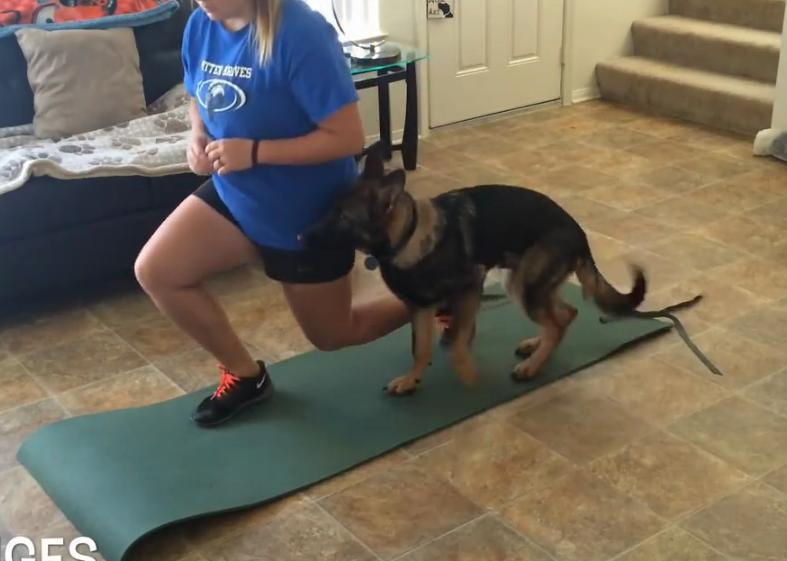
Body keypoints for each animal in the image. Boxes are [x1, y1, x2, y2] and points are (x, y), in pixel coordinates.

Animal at [302, 149, 648, 394]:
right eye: (329, 210)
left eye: (342, 217)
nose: (300, 237)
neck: (408, 235)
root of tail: (579, 234)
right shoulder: (420, 308)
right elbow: (419, 348)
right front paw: (411, 379)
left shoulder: (470, 288)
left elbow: (457, 343)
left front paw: (468, 373)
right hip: (523, 281)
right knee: (565, 314)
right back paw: (536, 348)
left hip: (524, 284)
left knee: (556, 321)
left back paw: (532, 366)